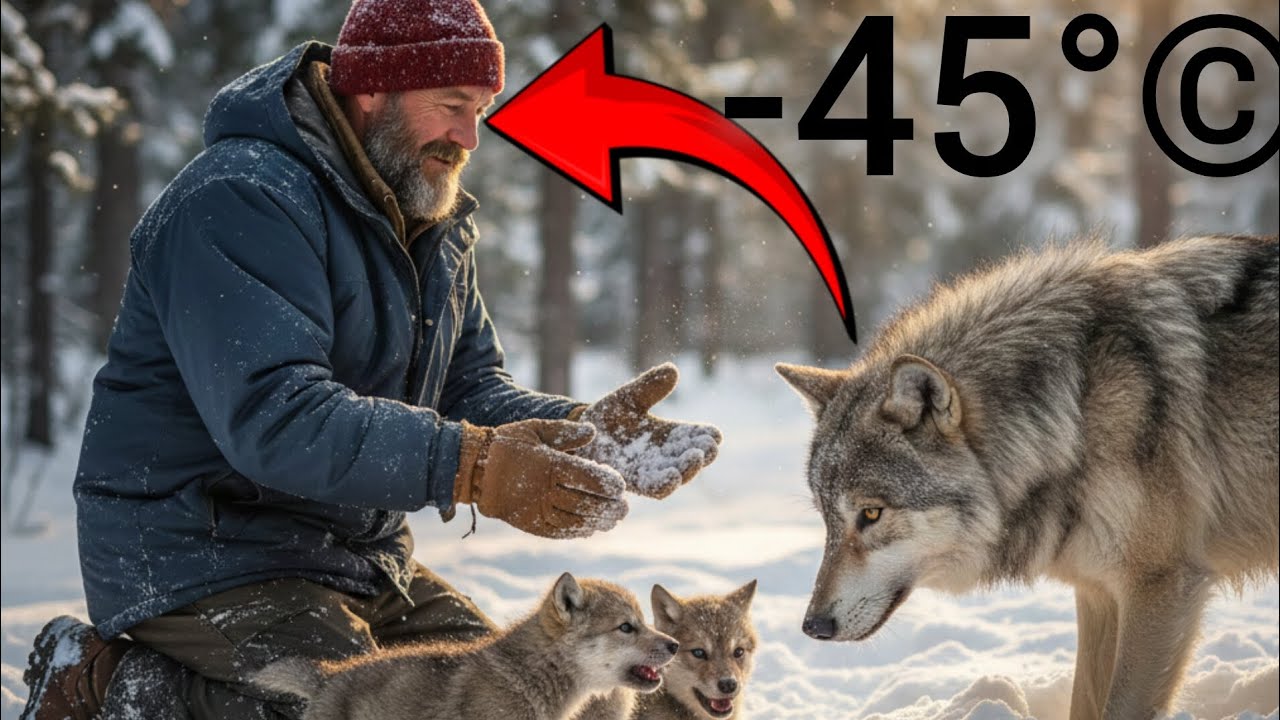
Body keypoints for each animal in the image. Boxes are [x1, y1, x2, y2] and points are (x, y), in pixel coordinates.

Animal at [776, 235, 1279, 720]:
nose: (812, 626)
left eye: (871, 514)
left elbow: (1119, 708)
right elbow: (1085, 705)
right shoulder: (1098, 591)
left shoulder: (1160, 587)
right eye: (827, 519)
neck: (1077, 411)